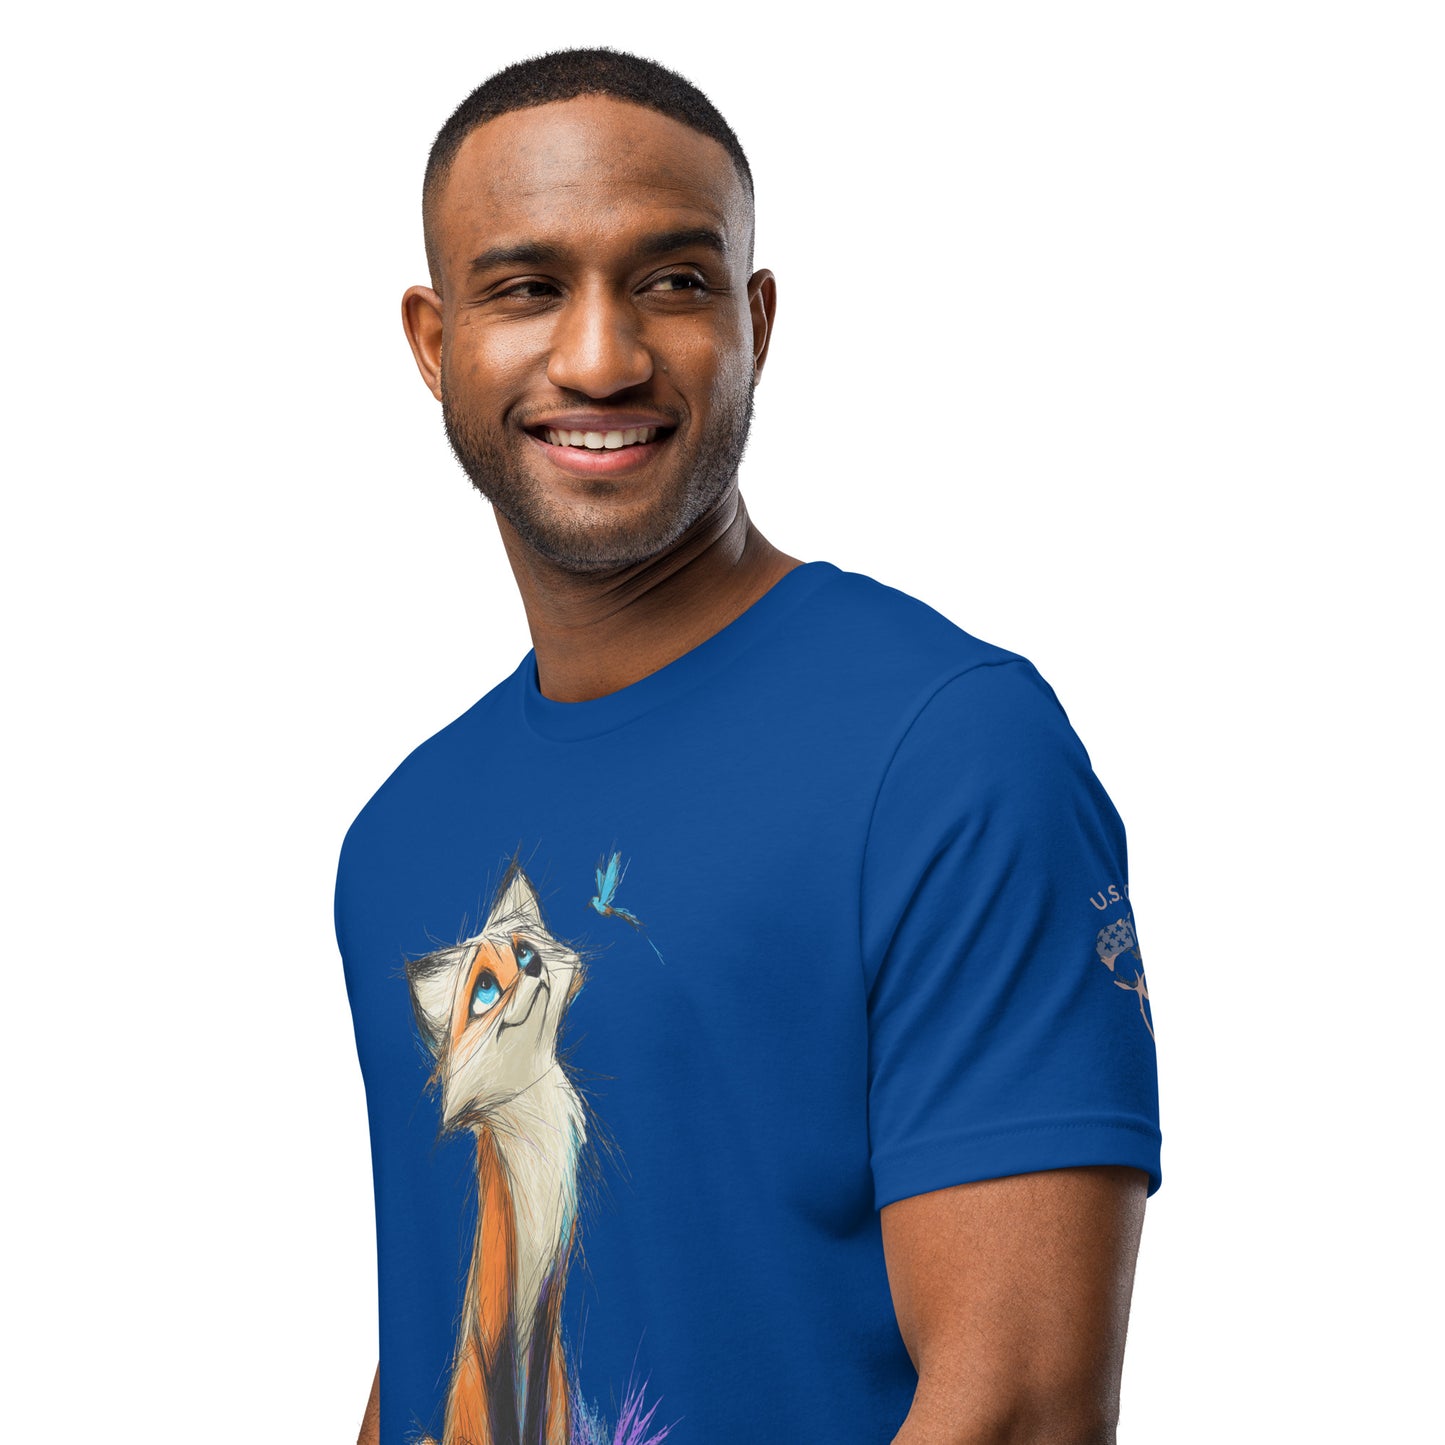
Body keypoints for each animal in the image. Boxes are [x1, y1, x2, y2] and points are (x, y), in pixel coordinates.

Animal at [406, 864, 587, 1445]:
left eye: (525, 952)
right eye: (485, 988)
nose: (531, 971)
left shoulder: (548, 1301)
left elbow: (537, 1406)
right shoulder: (500, 1311)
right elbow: (507, 1406)